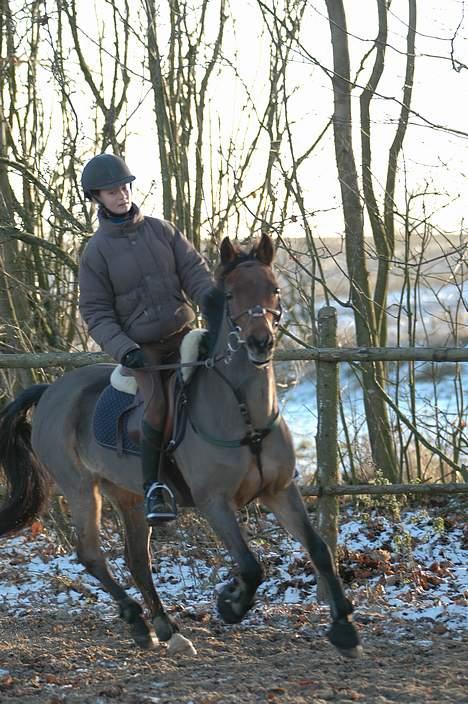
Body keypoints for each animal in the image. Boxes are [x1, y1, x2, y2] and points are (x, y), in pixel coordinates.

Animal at [0, 234, 362, 656]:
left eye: (273, 288)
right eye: (231, 294)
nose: (260, 343)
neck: (243, 413)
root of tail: (51, 391)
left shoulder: (280, 490)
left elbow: (319, 549)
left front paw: (344, 629)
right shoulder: (214, 502)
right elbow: (250, 564)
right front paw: (231, 603)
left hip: (128, 495)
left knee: (137, 559)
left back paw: (165, 629)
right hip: (80, 488)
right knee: (91, 554)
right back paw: (137, 621)